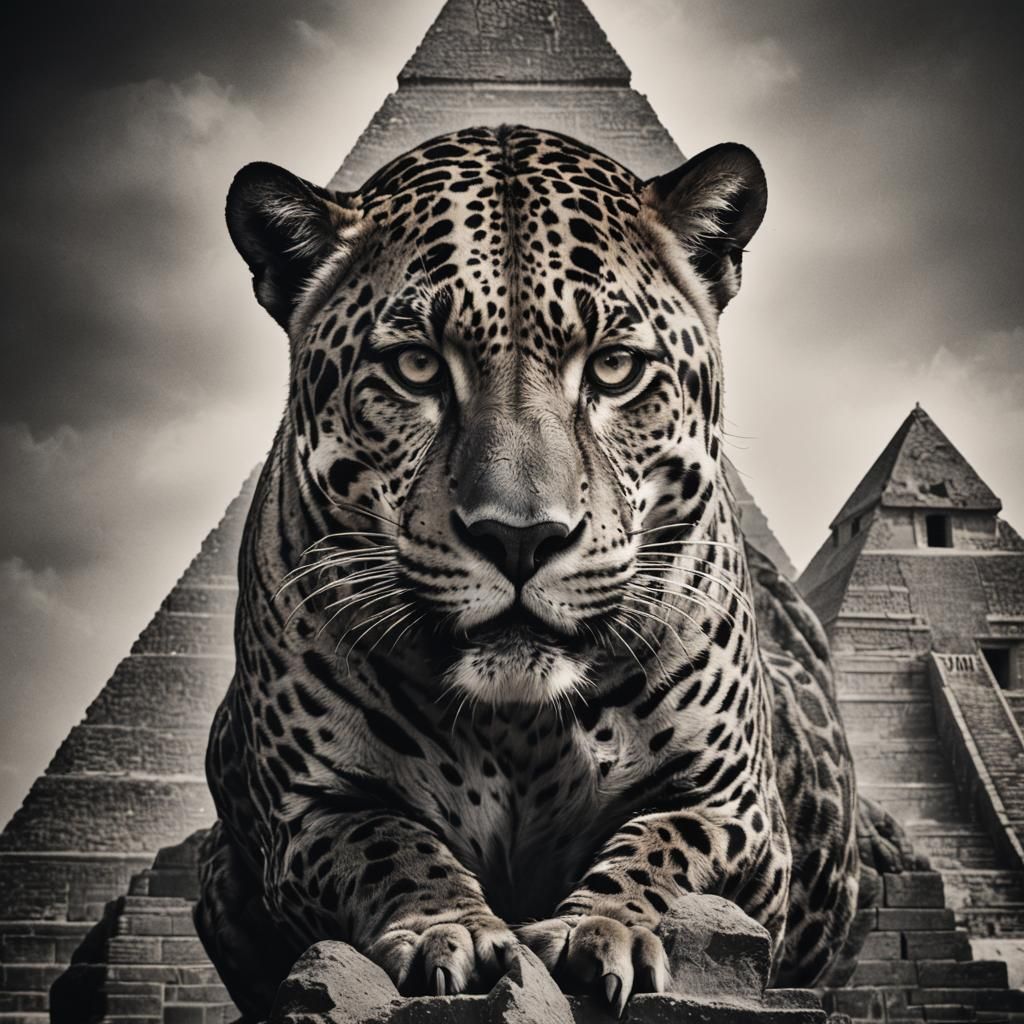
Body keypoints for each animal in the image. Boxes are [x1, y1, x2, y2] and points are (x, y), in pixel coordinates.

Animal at [194, 124, 860, 1021]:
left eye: (613, 368)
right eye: (416, 367)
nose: (520, 538)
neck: (518, 729)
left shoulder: (731, 806)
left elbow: (662, 846)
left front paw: (599, 928)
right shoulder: (312, 810)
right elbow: (387, 843)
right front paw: (451, 930)